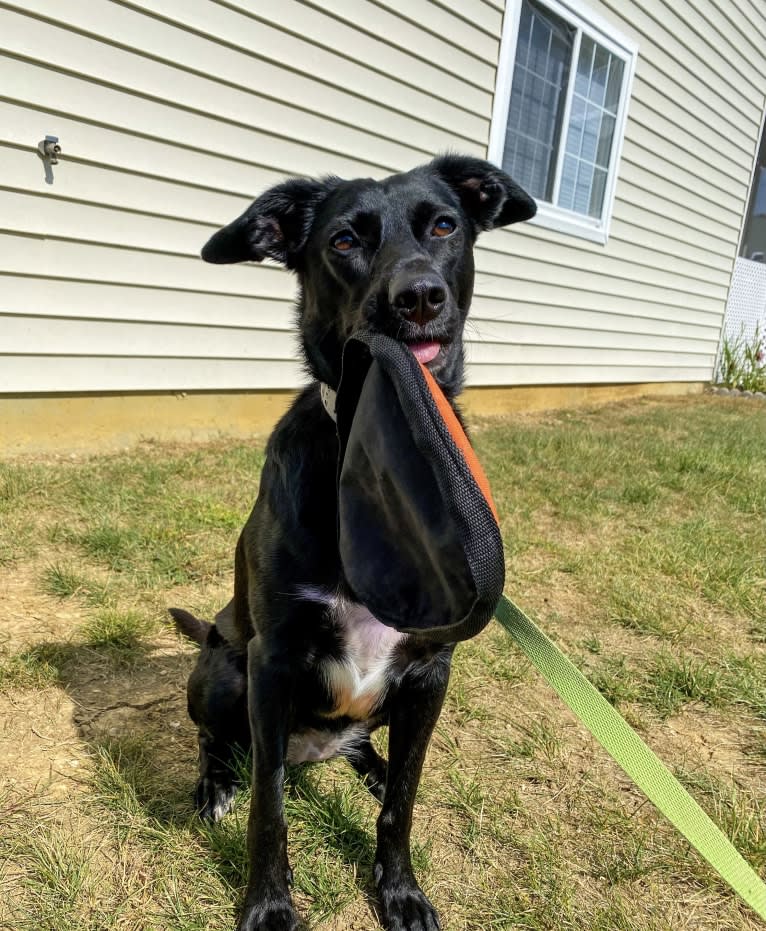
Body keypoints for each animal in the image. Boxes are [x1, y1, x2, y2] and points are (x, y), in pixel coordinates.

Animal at [172, 155, 536, 931]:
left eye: (443, 226)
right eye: (343, 241)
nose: (420, 296)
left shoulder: (431, 673)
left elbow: (404, 803)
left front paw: (400, 891)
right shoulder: (272, 661)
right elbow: (269, 809)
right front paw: (268, 903)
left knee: (376, 755)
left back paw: (370, 768)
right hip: (223, 670)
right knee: (221, 744)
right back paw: (214, 785)